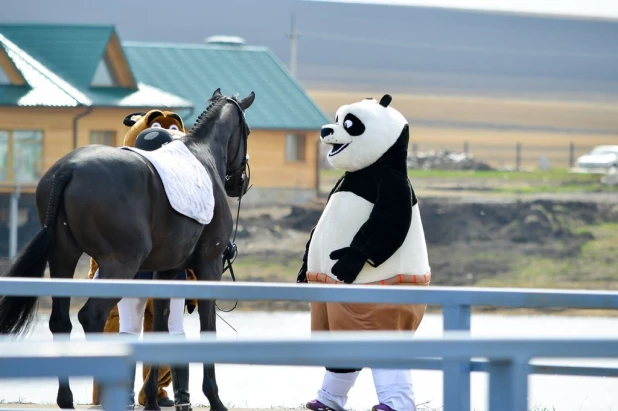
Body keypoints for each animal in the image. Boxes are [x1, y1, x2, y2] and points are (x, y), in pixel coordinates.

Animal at [0, 89, 255, 411]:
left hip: (63, 259)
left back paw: (67, 398)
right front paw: (214, 398)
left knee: (61, 320)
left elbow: (159, 326)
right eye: (248, 131)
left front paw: (152, 400)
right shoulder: (208, 265)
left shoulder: (167, 270)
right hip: (119, 264)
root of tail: (68, 169)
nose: (241, 183)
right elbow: (207, 325)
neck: (203, 156)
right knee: (91, 316)